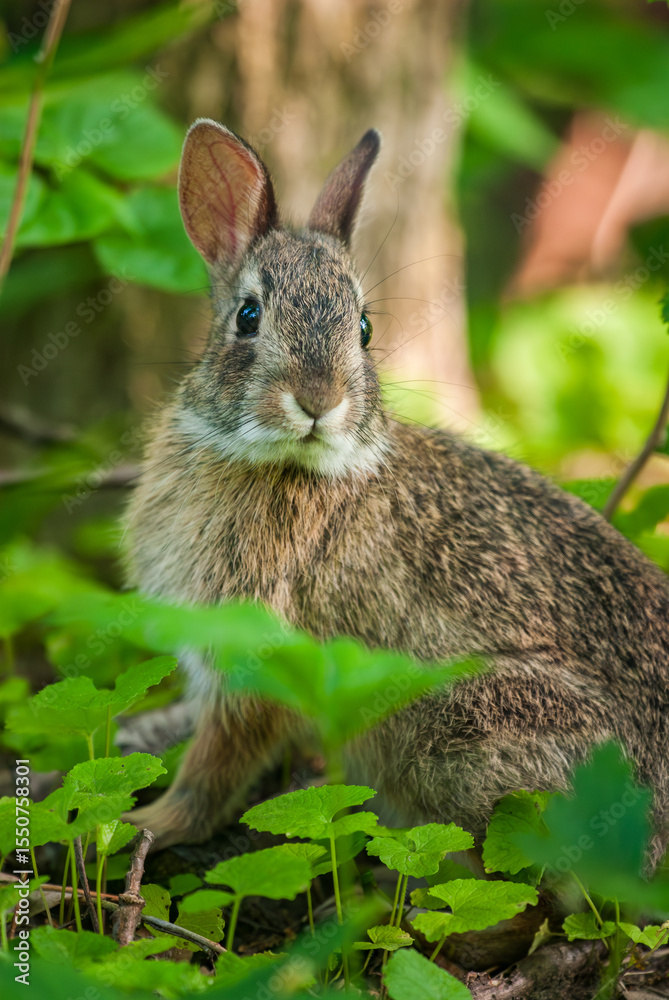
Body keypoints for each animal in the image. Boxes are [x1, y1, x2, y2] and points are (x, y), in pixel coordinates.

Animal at [125, 119, 669, 864]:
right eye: (248, 316)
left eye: (364, 328)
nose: (318, 400)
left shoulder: (262, 652)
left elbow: (217, 764)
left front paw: (152, 822)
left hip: (466, 723)